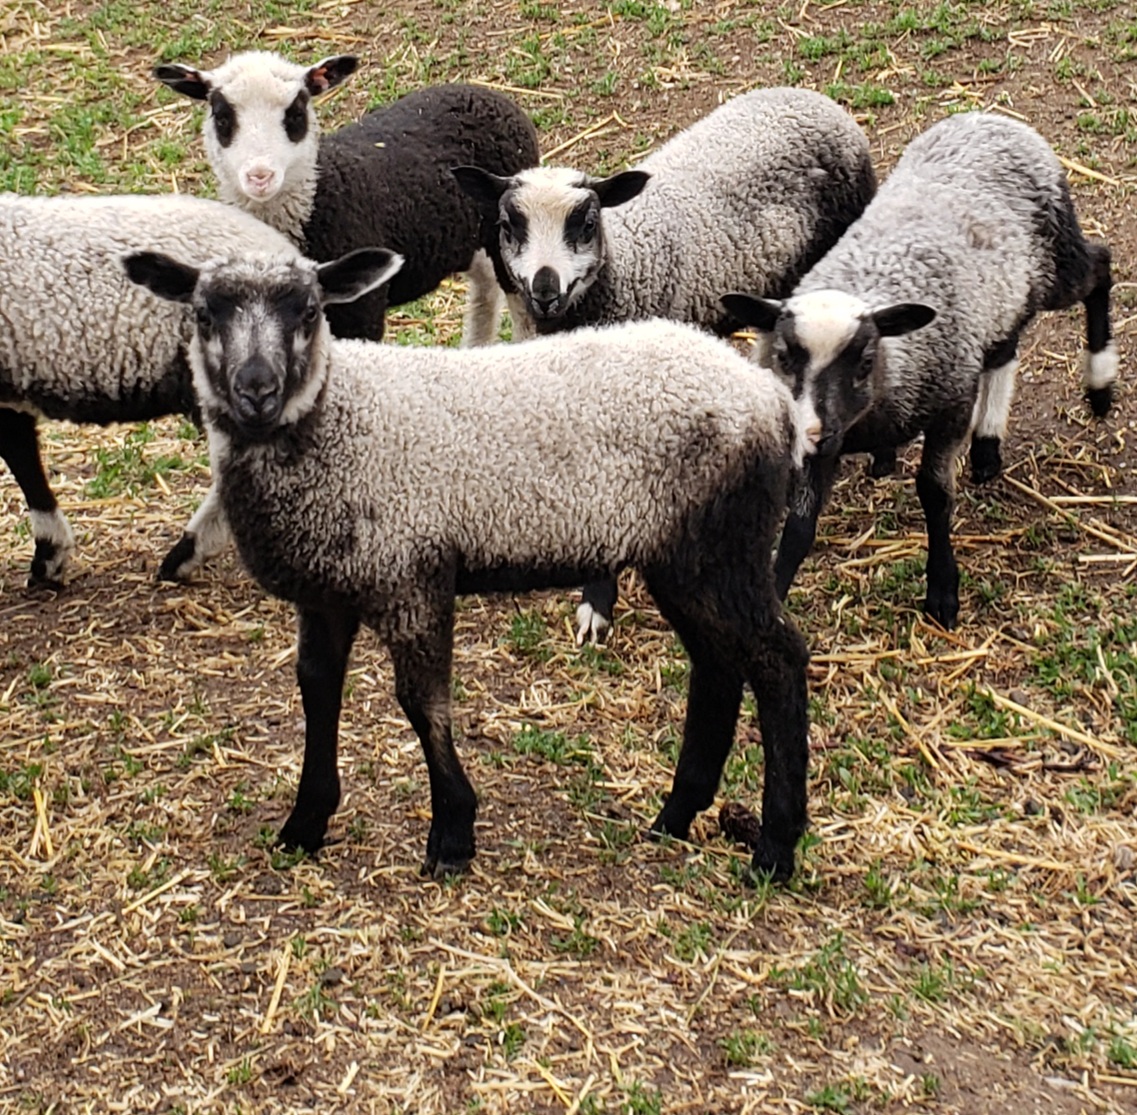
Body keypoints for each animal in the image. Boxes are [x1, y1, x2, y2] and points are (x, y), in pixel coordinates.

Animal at [123, 246, 813, 884]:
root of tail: (770, 399)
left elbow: (422, 703)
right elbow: (317, 690)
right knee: (717, 666)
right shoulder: (324, 592)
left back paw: (775, 847)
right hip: (680, 557)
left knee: (777, 659)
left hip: (724, 544)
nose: (258, 390)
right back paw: (675, 817)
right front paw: (305, 823)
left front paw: (452, 834)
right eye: (204, 314)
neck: (339, 421)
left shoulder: (413, 573)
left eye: (311, 311)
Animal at [155, 50, 540, 346]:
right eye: (222, 117)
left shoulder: (362, 311)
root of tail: (486, 93)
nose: (259, 177)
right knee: (485, 290)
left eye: (295, 114)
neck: (317, 200)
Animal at [453, 85, 876, 644]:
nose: (545, 289)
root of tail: (812, 98)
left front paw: (598, 600)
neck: (628, 265)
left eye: (587, 224)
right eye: (507, 225)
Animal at [721, 111, 1118, 631]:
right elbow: (799, 527)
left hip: (1056, 261)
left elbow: (934, 493)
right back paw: (987, 448)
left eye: (865, 363)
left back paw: (1101, 387)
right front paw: (776, 599)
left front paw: (943, 591)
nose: (815, 433)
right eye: (785, 356)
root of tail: (990, 118)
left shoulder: (951, 403)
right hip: (1000, 298)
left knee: (1101, 267)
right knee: (1004, 347)